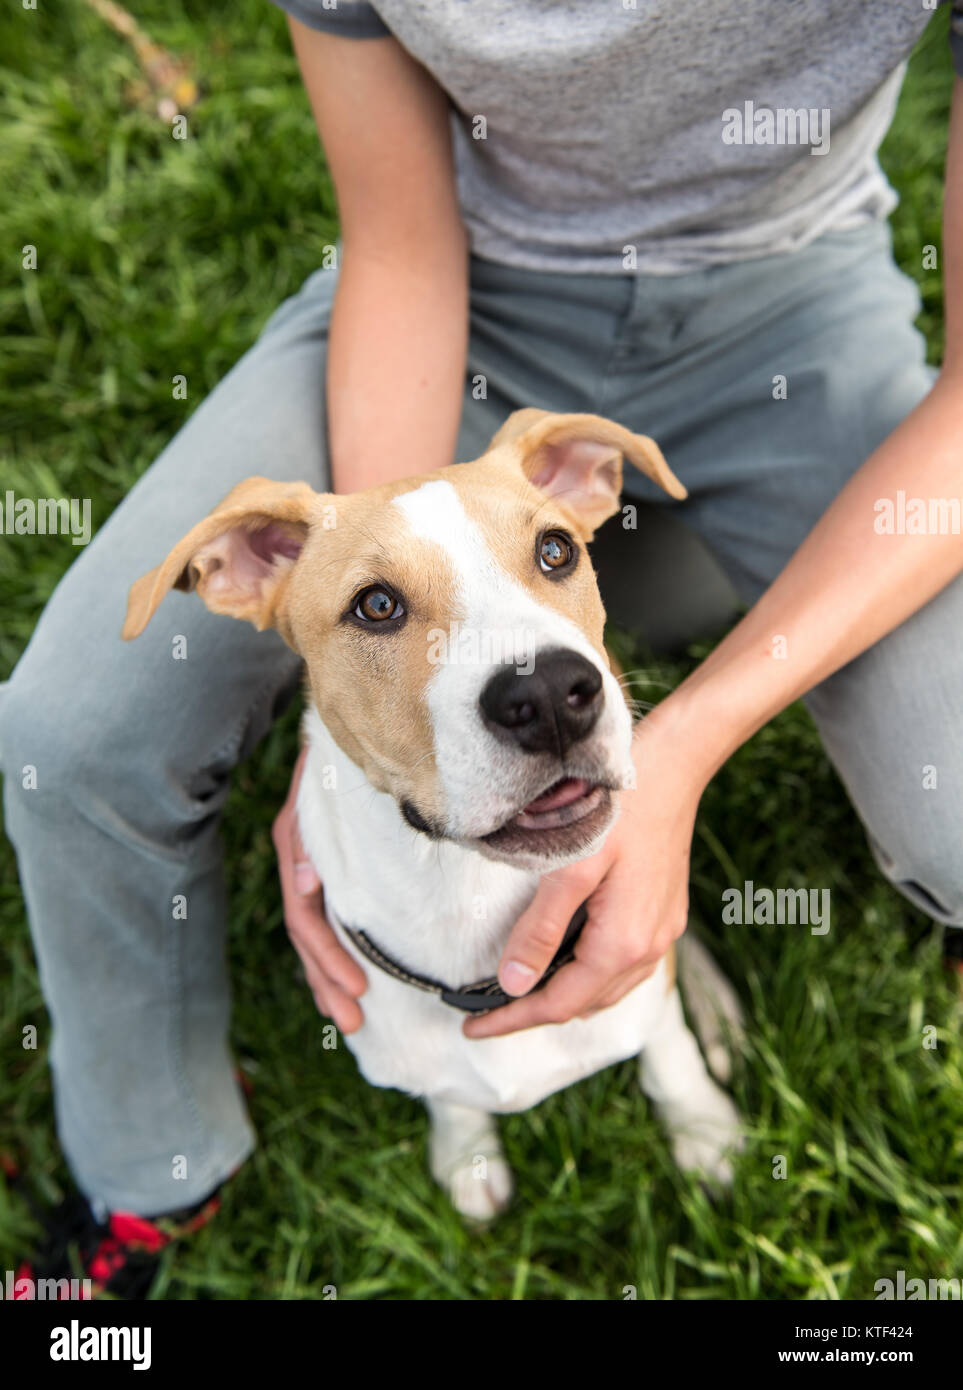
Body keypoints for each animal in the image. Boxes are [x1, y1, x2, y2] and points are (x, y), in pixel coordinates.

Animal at [123, 408, 739, 1217]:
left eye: (555, 551)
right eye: (376, 605)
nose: (549, 694)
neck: (465, 895)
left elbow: (668, 1052)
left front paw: (706, 1132)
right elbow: (450, 1097)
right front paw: (468, 1156)